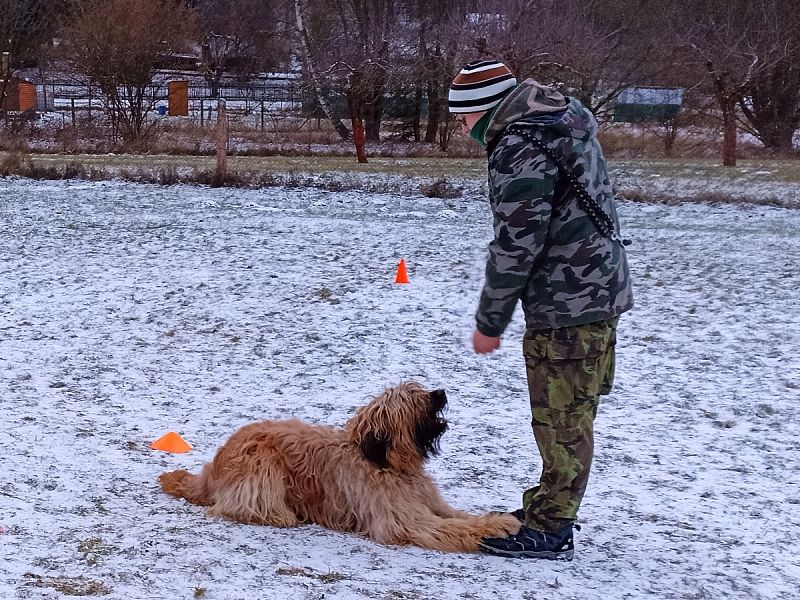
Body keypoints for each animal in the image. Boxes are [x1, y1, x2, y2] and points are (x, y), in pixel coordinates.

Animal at [158, 382, 520, 552]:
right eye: (413, 399)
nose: (441, 392)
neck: (386, 463)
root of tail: (211, 471)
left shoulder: (428, 504)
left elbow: (460, 517)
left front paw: (498, 520)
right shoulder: (404, 522)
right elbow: (452, 528)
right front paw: (496, 529)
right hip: (261, 462)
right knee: (244, 504)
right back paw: (282, 514)